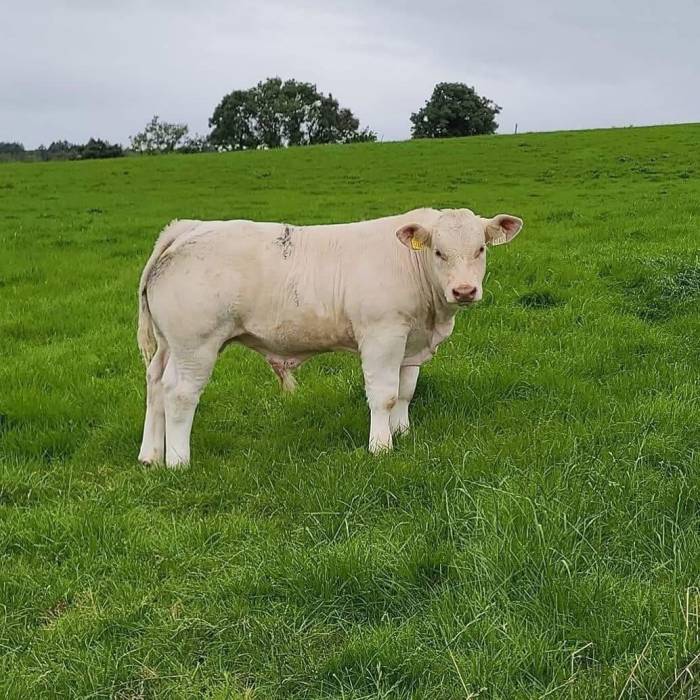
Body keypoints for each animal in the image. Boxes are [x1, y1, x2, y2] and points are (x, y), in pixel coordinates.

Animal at [137, 208, 523, 467]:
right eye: (439, 252)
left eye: (480, 249)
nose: (464, 290)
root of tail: (189, 228)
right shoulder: (382, 335)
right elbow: (383, 395)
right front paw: (381, 447)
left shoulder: (410, 340)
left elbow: (405, 391)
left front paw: (402, 433)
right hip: (195, 345)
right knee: (179, 394)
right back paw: (178, 461)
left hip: (170, 345)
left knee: (155, 386)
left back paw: (151, 456)